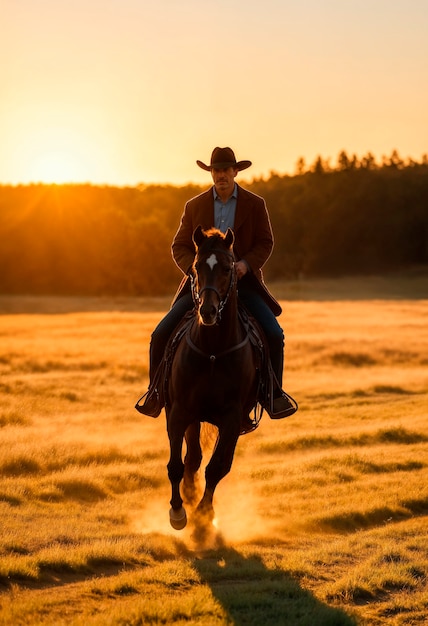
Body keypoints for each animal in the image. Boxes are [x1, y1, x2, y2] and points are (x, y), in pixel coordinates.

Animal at [165, 224, 260, 532]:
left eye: (228, 269)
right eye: (196, 266)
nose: (207, 311)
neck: (212, 351)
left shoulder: (232, 419)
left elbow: (217, 468)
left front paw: (203, 514)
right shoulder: (180, 411)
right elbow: (176, 464)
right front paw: (178, 512)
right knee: (192, 458)